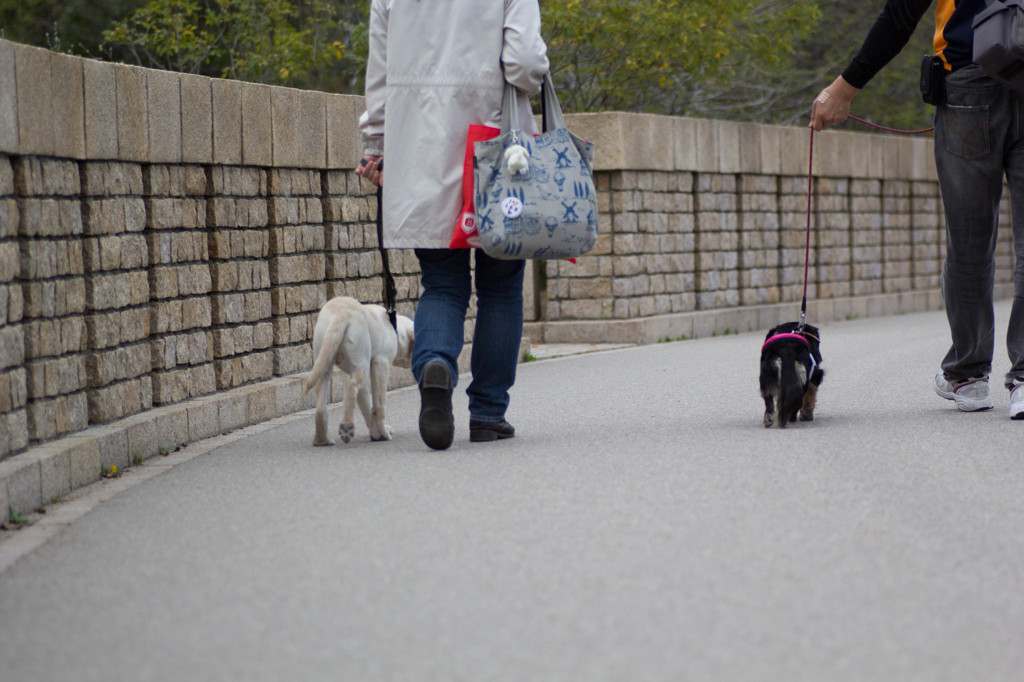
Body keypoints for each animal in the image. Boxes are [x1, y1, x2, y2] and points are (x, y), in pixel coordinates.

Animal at [301, 294, 413, 444]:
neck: (394, 328)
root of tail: (341, 313)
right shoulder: (381, 364)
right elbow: (379, 404)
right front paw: (383, 432)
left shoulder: (363, 381)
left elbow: (367, 406)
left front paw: (376, 433)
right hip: (361, 364)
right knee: (351, 385)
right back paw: (347, 426)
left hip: (325, 359)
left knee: (321, 406)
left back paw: (322, 440)